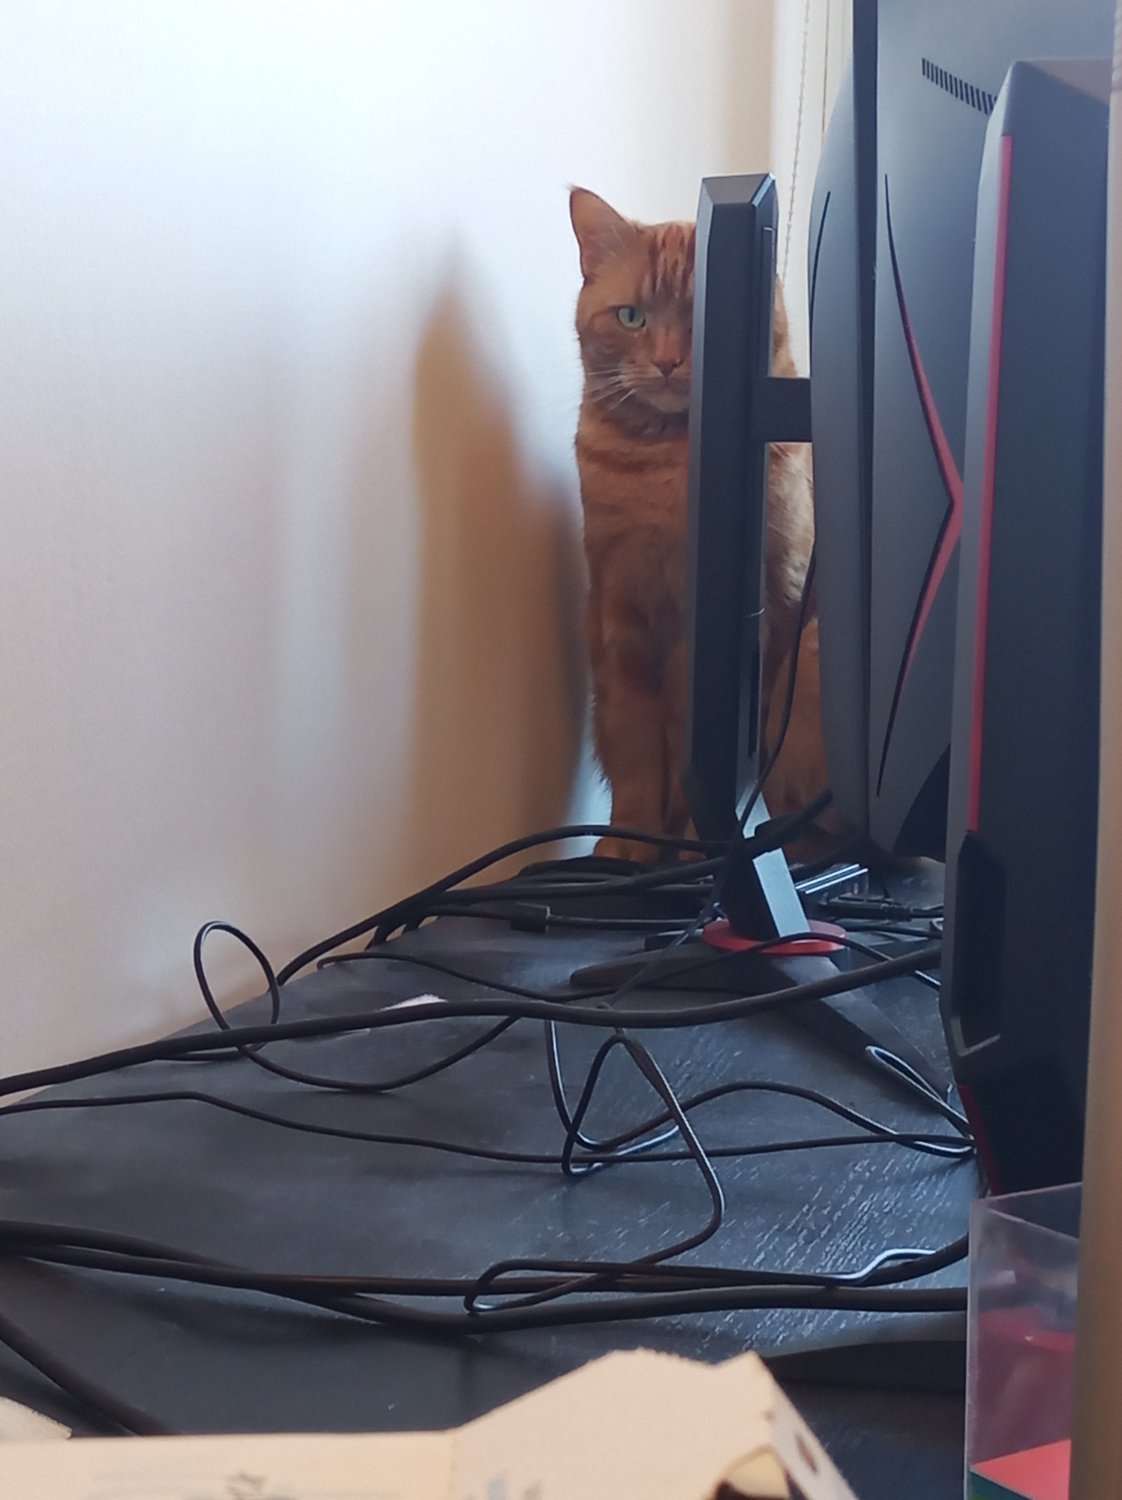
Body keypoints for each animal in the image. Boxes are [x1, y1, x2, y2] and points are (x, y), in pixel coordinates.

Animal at [569, 186, 829, 862]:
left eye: (699, 316)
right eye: (631, 317)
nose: (666, 362)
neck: (668, 466)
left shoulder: (772, 611)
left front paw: (694, 852)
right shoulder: (620, 622)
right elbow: (636, 755)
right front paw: (629, 847)